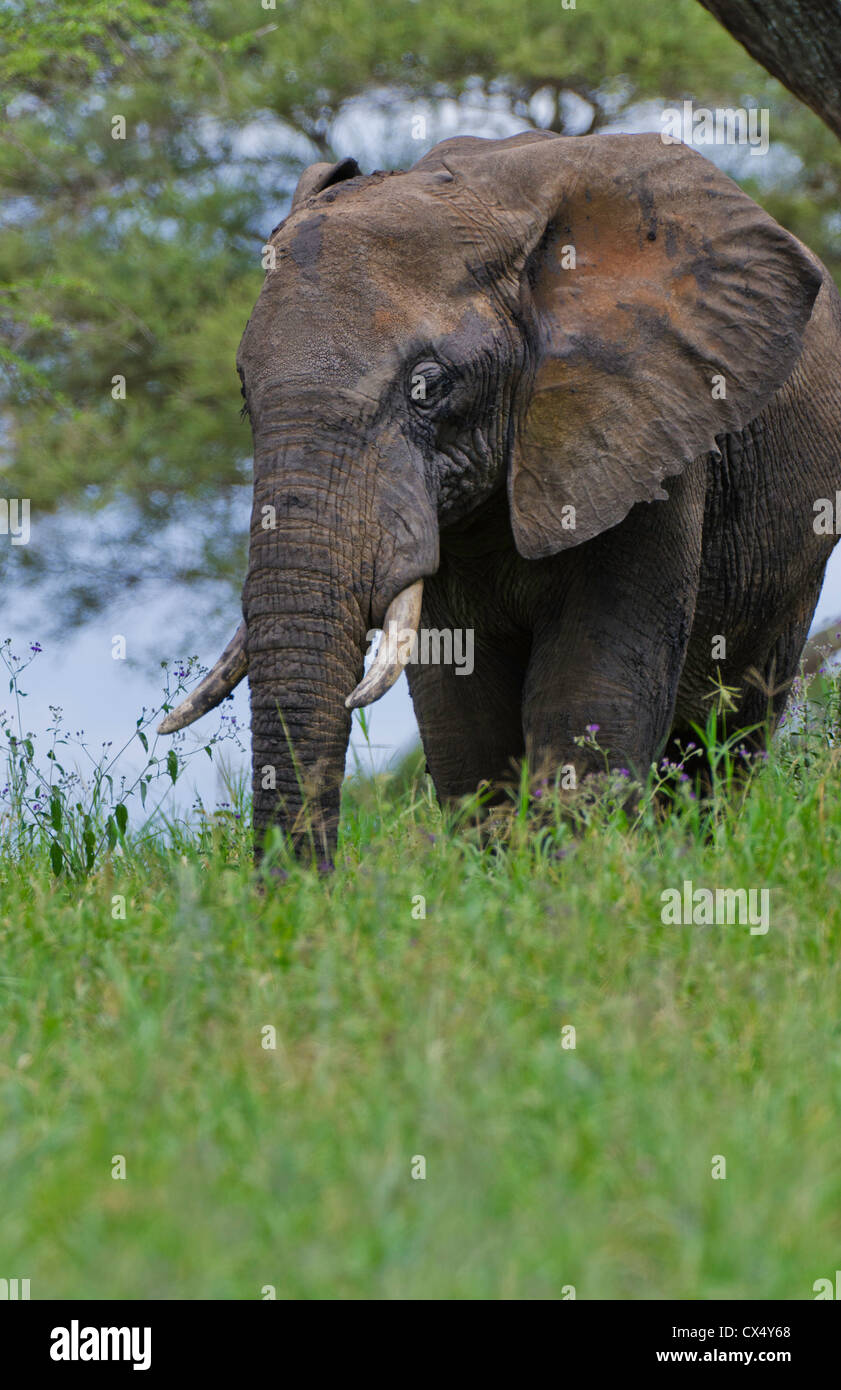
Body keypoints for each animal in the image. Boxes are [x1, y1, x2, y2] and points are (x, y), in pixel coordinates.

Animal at [155, 135, 839, 861]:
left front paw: (568, 872)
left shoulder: (650, 430)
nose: (298, 888)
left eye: (428, 386)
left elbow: (590, 692)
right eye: (242, 390)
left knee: (727, 732)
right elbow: (463, 710)